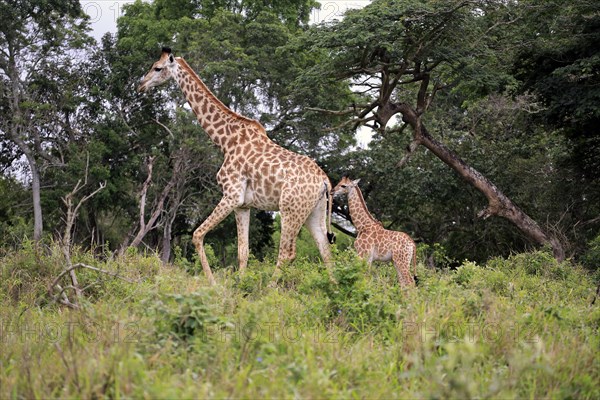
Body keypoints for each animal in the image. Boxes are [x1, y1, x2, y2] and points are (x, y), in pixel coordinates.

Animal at [139, 47, 336, 284]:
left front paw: (213, 283)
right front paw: (239, 286)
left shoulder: (231, 195)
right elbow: (243, 251)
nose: (141, 85)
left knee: (287, 253)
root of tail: (324, 181)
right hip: (314, 212)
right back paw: (336, 289)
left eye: (157, 68)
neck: (226, 140)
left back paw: (269, 289)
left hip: (290, 209)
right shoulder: (243, 205)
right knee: (326, 251)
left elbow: (197, 235)